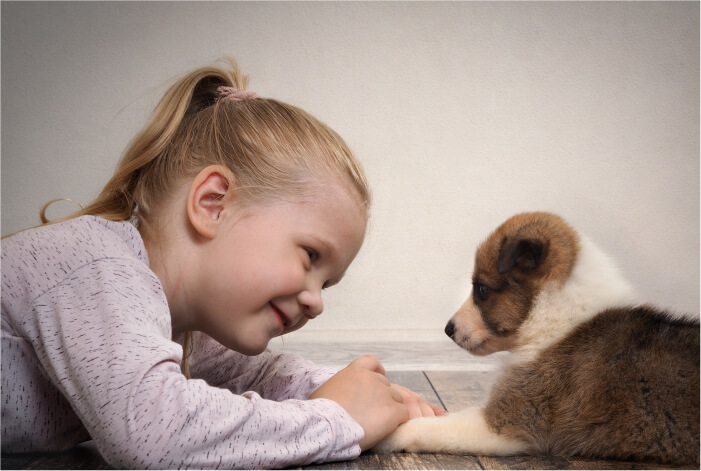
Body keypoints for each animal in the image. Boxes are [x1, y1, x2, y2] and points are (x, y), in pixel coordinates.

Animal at [378, 212, 700, 466]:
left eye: (481, 290)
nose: (448, 329)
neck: (555, 311)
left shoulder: (509, 423)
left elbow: (429, 427)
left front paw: (389, 431)